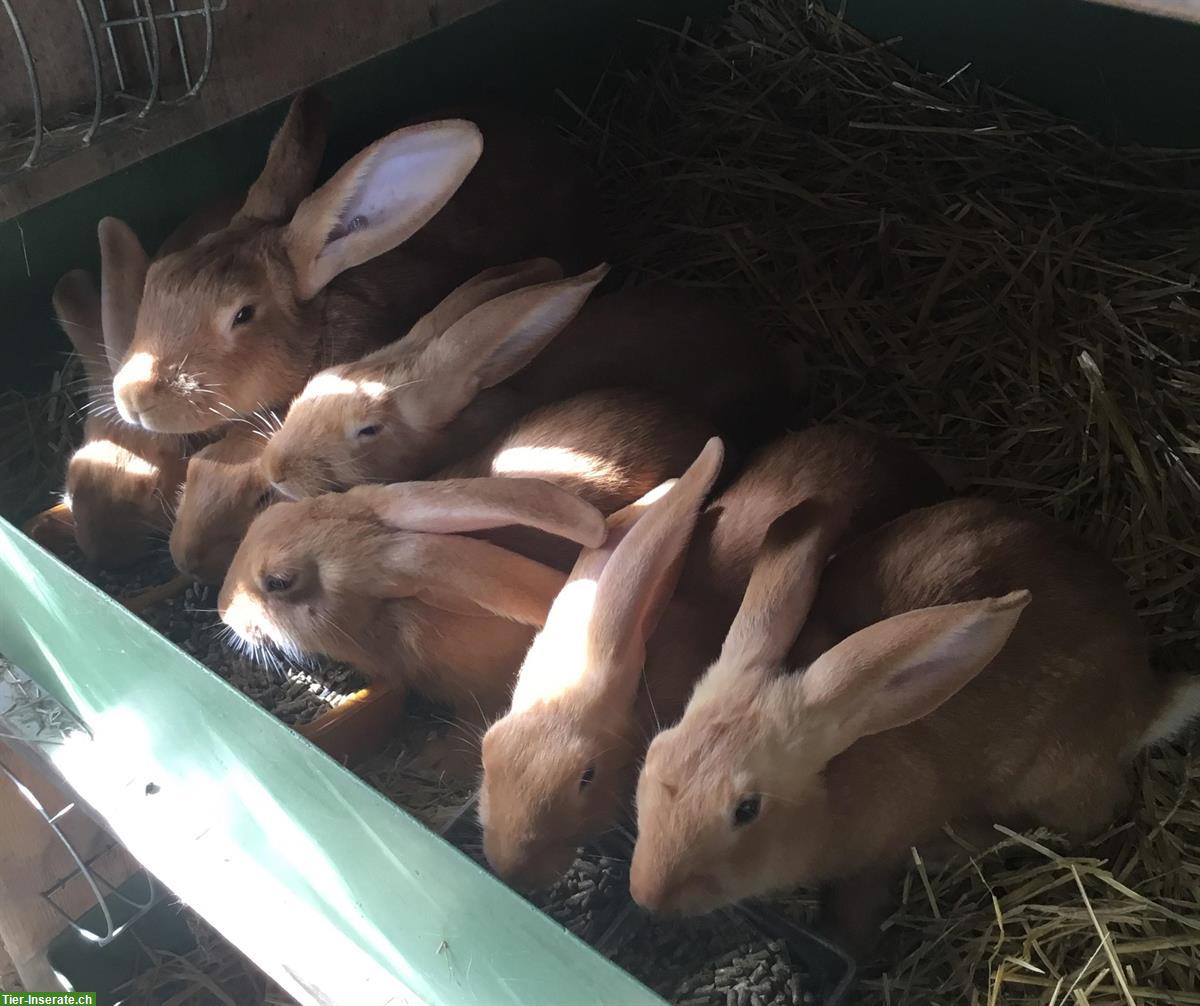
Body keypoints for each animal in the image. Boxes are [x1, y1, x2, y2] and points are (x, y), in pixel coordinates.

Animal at [629, 496, 1200, 958]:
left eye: (747, 809)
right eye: (655, 752)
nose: (645, 894)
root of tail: (1143, 697)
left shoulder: (877, 859)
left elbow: (858, 905)